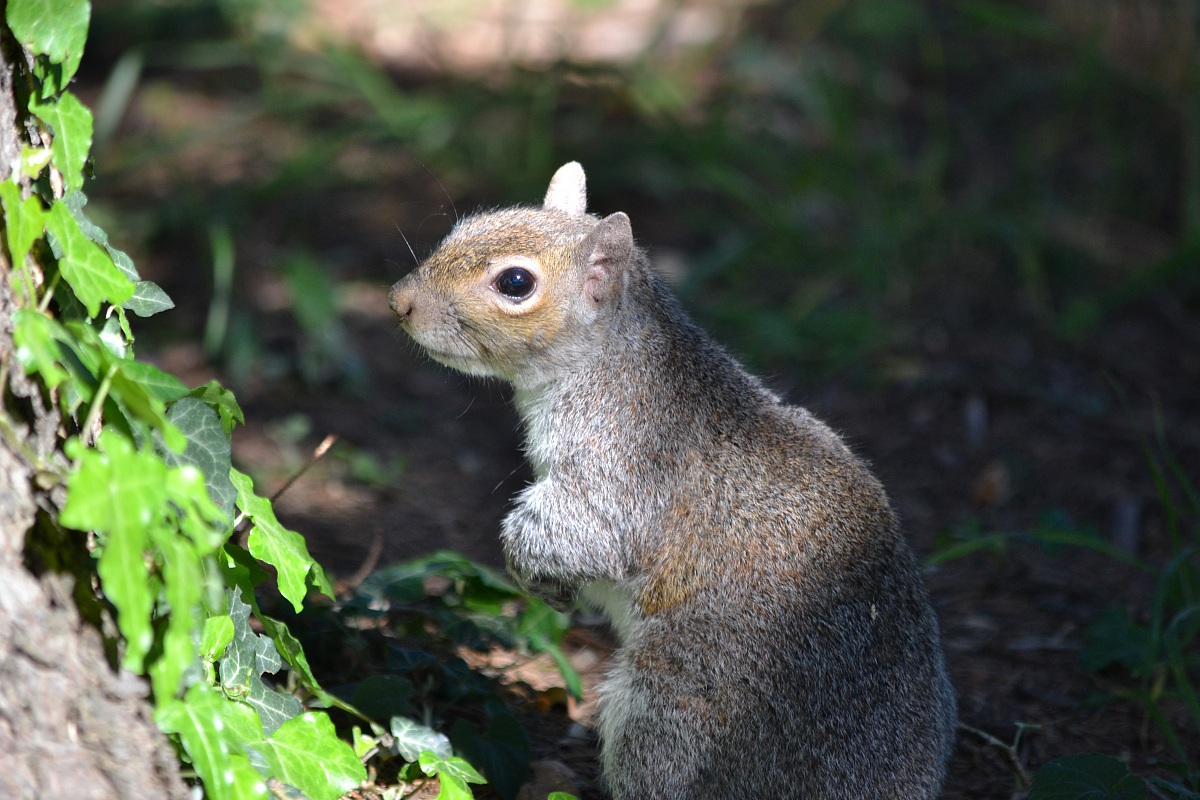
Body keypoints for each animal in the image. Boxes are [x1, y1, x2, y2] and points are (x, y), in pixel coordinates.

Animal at [389, 162, 957, 798]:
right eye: (461, 227)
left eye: (515, 283)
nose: (399, 301)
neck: (606, 361)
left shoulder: (623, 462)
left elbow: (586, 530)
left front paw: (528, 567)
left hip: (676, 701)